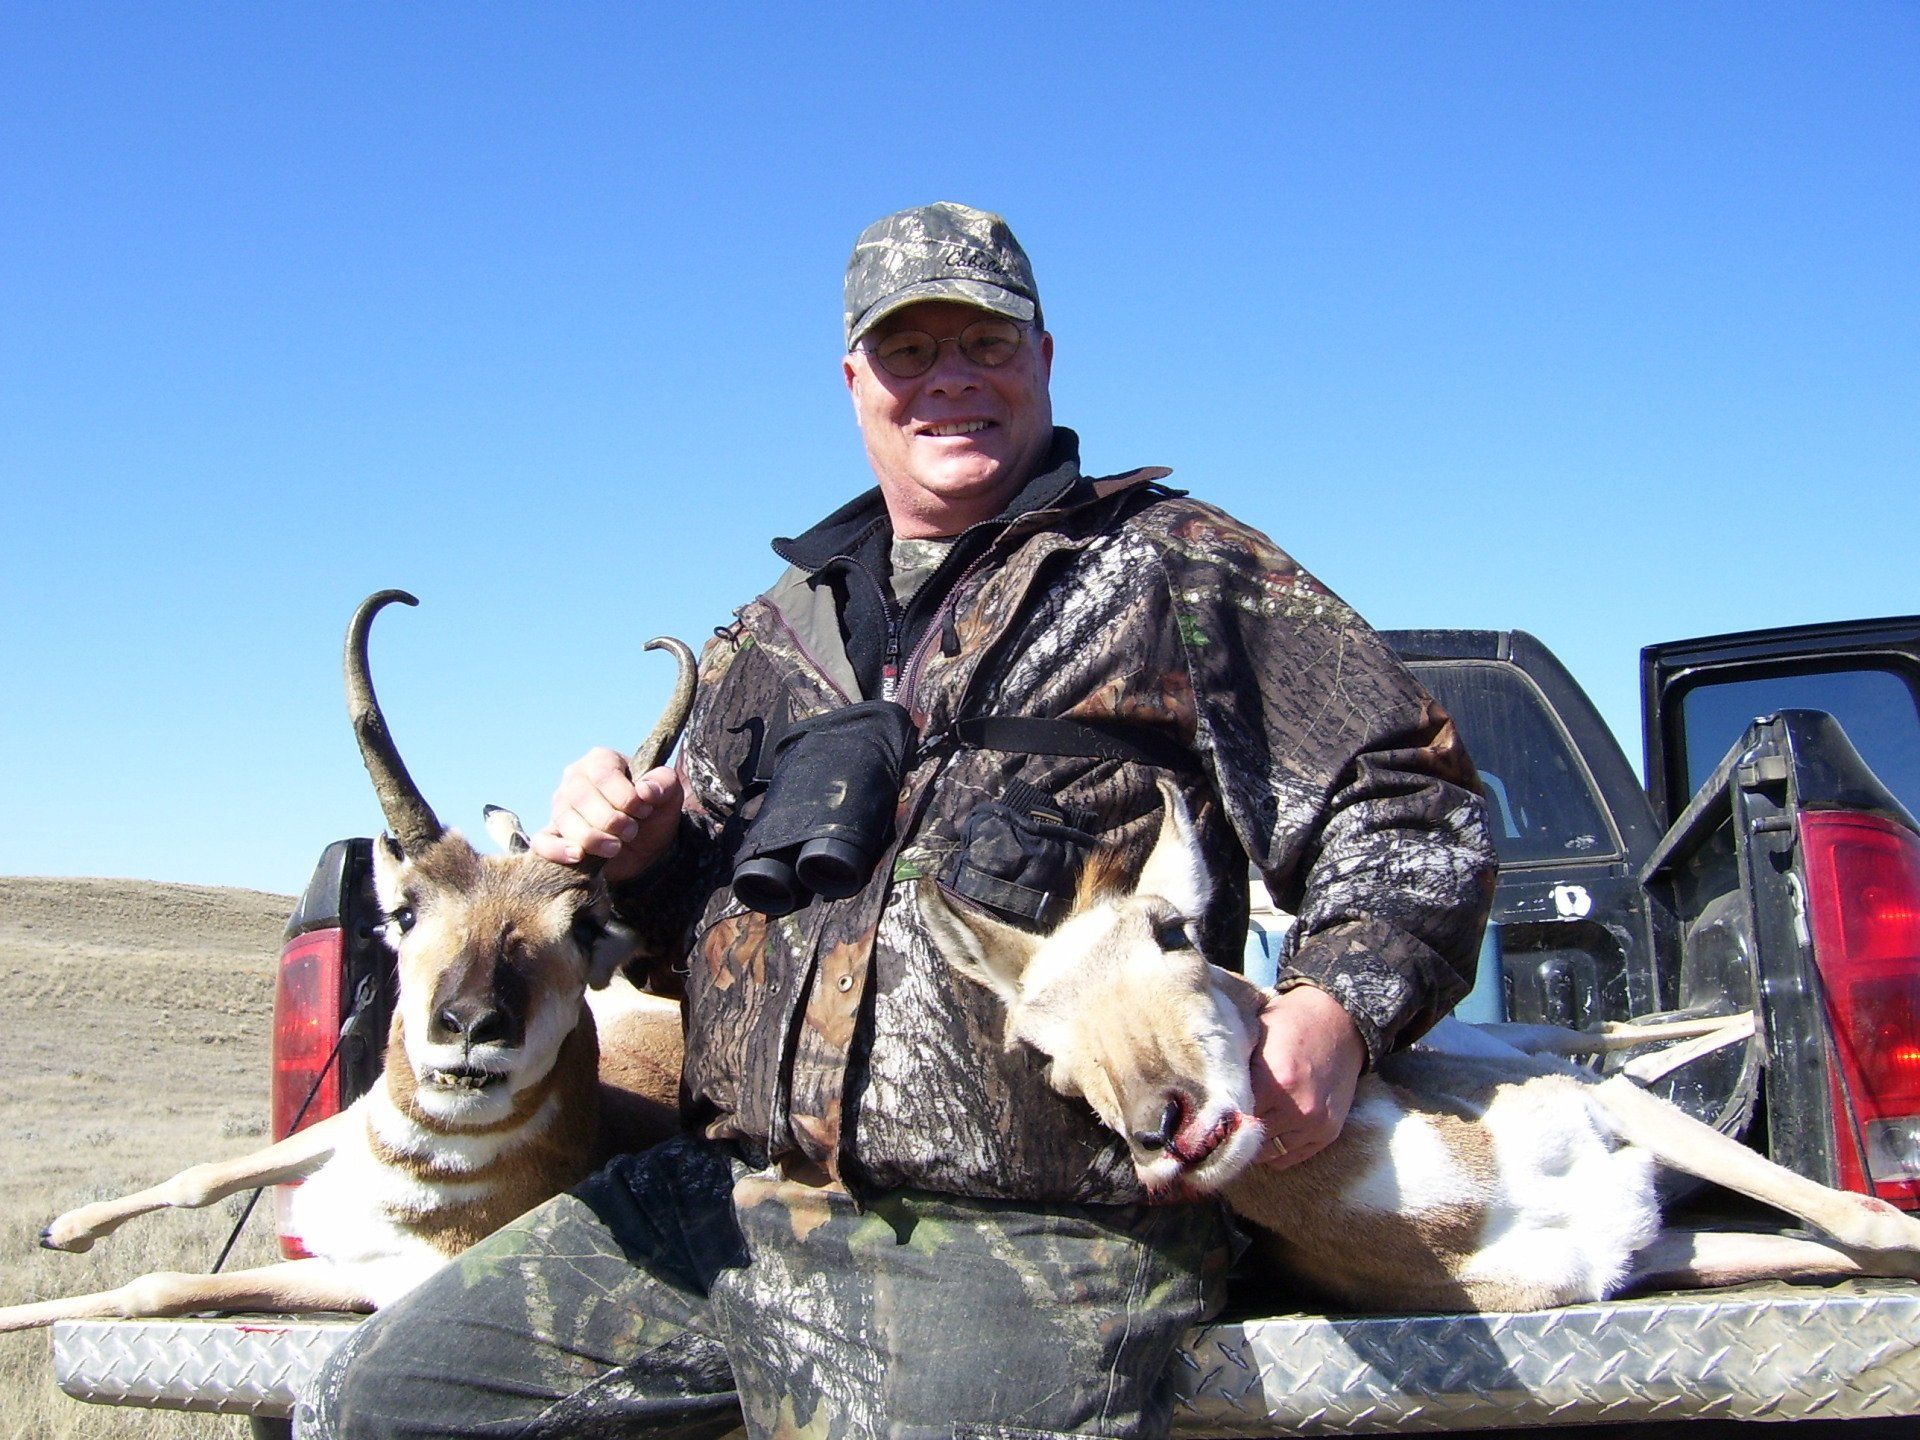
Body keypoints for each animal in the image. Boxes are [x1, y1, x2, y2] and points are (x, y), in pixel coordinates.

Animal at [0, 591, 691, 1336]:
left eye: (582, 928)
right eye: (406, 912)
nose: (471, 1027)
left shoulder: (354, 1284)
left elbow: (155, 1288)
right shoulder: (337, 1127)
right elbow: (200, 1177)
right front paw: (63, 1231)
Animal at [917, 783, 1920, 1313]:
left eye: (1174, 933)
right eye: (1045, 1054)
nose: (1164, 1129)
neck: (1476, 1199)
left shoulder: (1608, 1120)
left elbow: (1857, 1218)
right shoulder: (1635, 1253)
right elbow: (1848, 1247)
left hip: (1533, 1048)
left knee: (1608, 1038)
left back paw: (1737, 1022)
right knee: (1629, 1053)